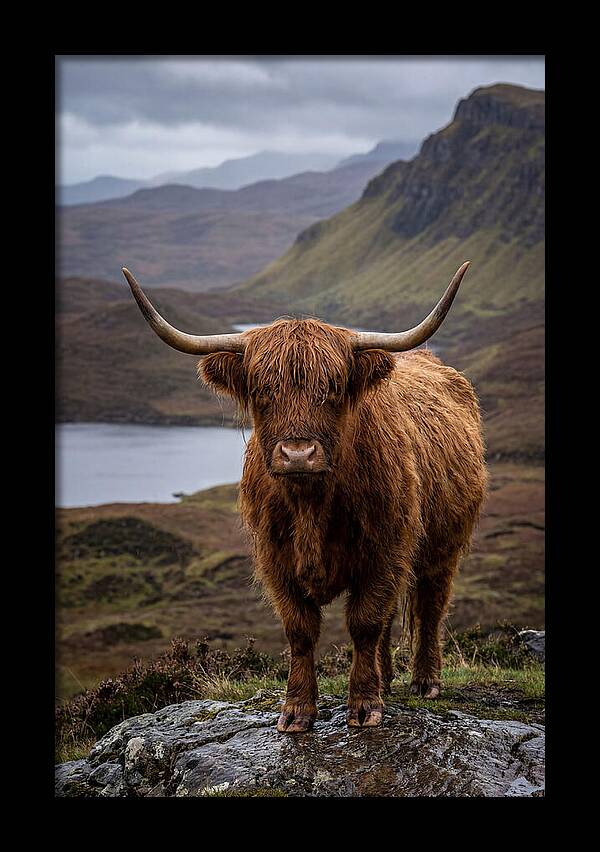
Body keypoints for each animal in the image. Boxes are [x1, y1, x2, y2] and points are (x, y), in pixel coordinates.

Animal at [122, 263, 487, 732]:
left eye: (332, 387)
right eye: (262, 389)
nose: (298, 453)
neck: (311, 504)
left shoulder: (385, 551)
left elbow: (364, 622)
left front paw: (364, 706)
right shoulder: (276, 558)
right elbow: (301, 630)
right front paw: (297, 710)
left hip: (443, 546)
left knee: (430, 606)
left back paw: (426, 682)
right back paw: (387, 679)